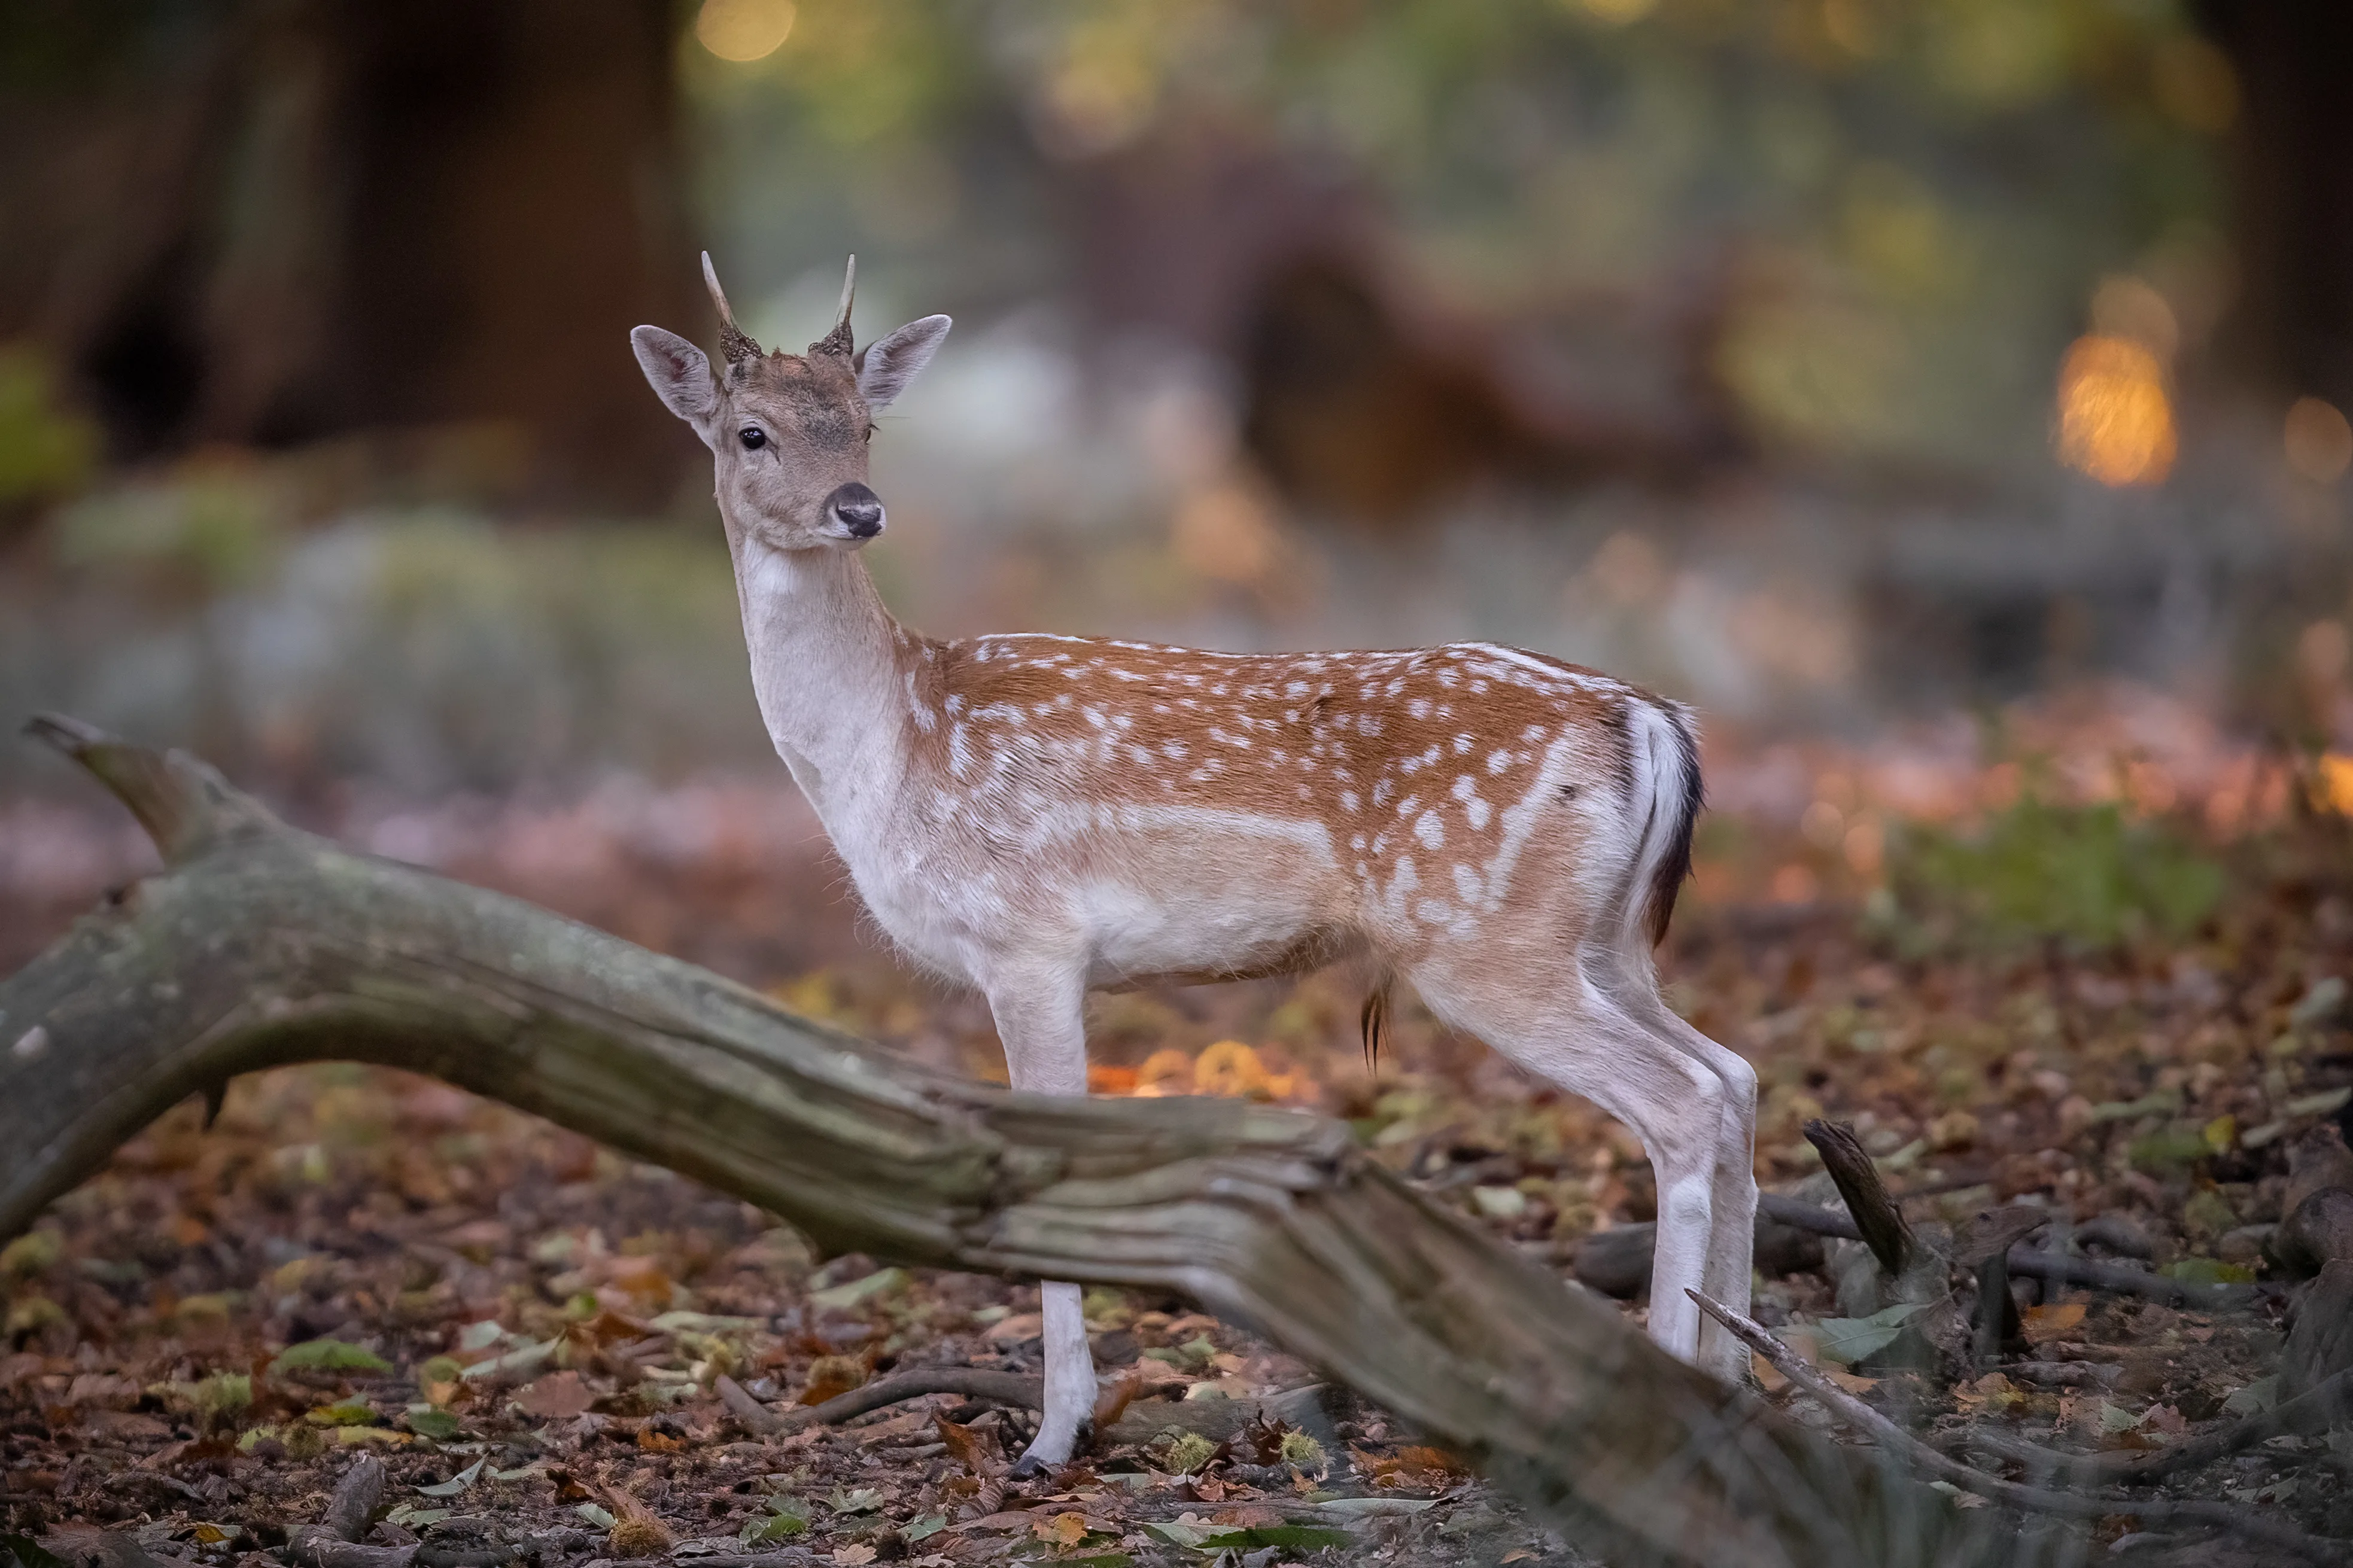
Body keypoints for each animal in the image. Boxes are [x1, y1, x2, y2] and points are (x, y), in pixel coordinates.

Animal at [630, 256, 1757, 1472]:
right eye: (751, 432)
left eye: (867, 424)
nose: (858, 507)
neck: (890, 747)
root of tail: (1648, 717)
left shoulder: (1028, 940)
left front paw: (1053, 1437)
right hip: (1609, 940)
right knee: (1735, 1076)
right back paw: (1741, 1380)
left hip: (1487, 940)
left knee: (1685, 1099)